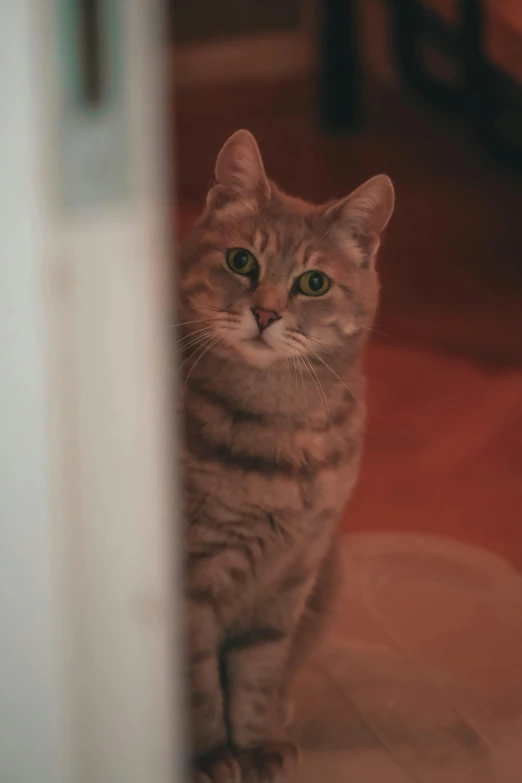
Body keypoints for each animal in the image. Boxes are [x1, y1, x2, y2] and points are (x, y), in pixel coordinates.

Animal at [177, 127, 392, 776]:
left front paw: (256, 743)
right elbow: (199, 684)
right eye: (241, 260)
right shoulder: (192, 581)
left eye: (313, 282)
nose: (266, 312)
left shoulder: (291, 578)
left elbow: (256, 672)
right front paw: (211, 756)